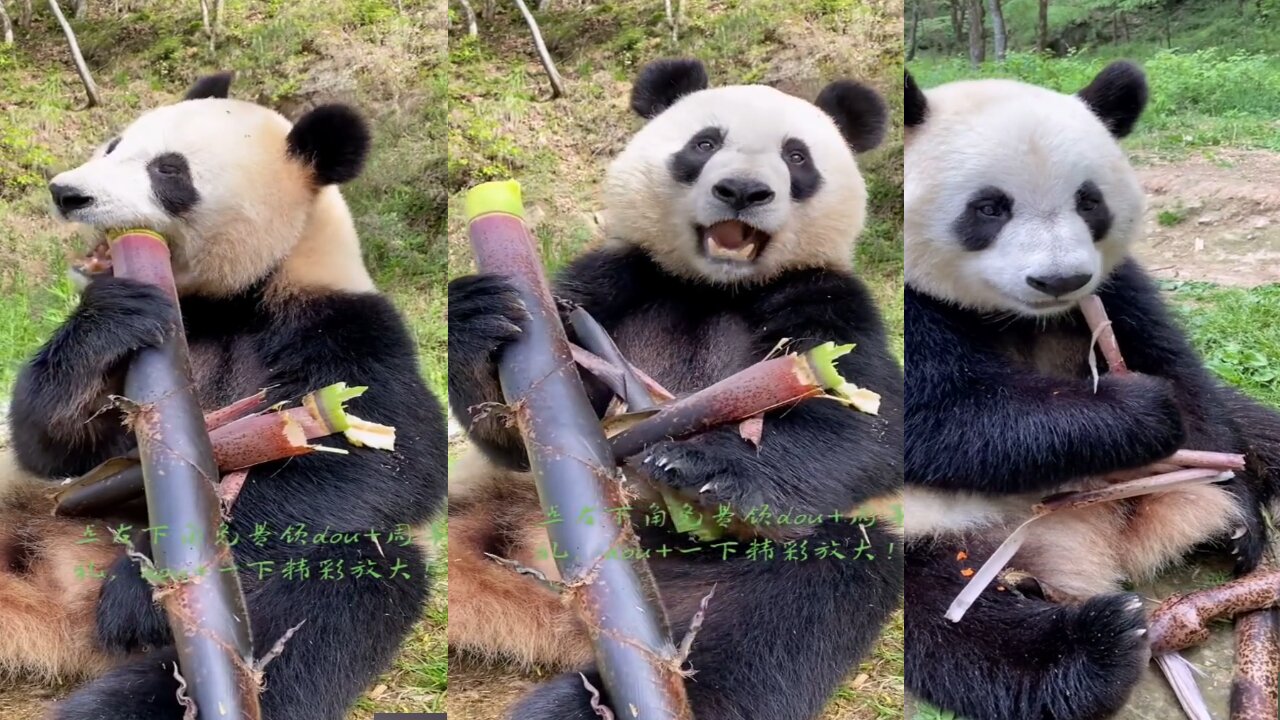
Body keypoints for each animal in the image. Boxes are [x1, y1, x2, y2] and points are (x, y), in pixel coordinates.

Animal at [0, 73, 448, 717]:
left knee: (335, 593)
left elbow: (385, 458)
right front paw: (112, 315)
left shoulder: (346, 327)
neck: (233, 300)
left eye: (169, 171)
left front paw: (145, 588)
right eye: (113, 145)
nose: (67, 193)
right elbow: (57, 448)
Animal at [445, 57, 906, 717]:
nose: (742, 191)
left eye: (797, 157)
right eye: (704, 143)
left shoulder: (825, 292)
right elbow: (525, 423)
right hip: (489, 502)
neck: (714, 286)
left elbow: (871, 421)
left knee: (785, 617)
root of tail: (555, 609)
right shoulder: (614, 278)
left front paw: (703, 465)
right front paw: (481, 316)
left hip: (752, 561)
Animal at [901, 63, 1280, 717]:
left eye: (1089, 200)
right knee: (948, 621)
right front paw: (1140, 413)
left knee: (1258, 426)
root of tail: (1107, 542)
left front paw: (1237, 512)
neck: (1018, 318)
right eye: (989, 208)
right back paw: (1100, 644)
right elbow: (940, 420)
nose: (1059, 278)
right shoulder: (914, 307)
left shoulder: (1110, 291)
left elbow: (1180, 371)